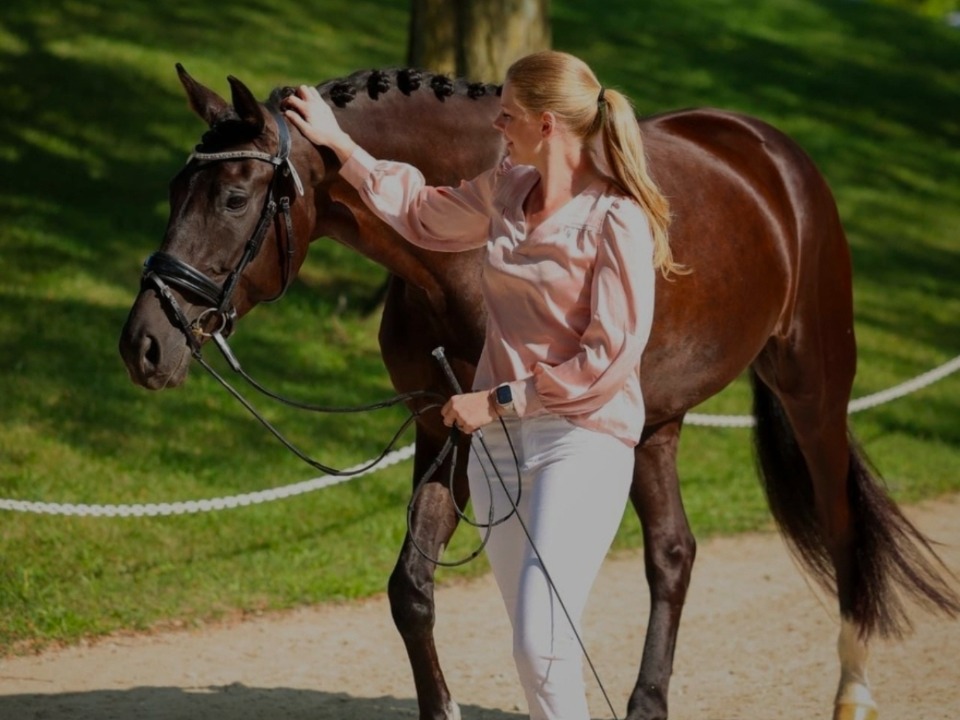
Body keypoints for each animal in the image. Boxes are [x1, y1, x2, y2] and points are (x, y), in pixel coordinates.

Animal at [118, 64, 959, 720]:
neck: (455, 261)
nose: (143, 344)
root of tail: (772, 154)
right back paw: (648, 701)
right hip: (654, 424)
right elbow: (411, 589)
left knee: (842, 529)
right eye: (175, 187)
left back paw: (853, 692)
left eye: (234, 197)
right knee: (673, 554)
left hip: (813, 388)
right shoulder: (442, 429)